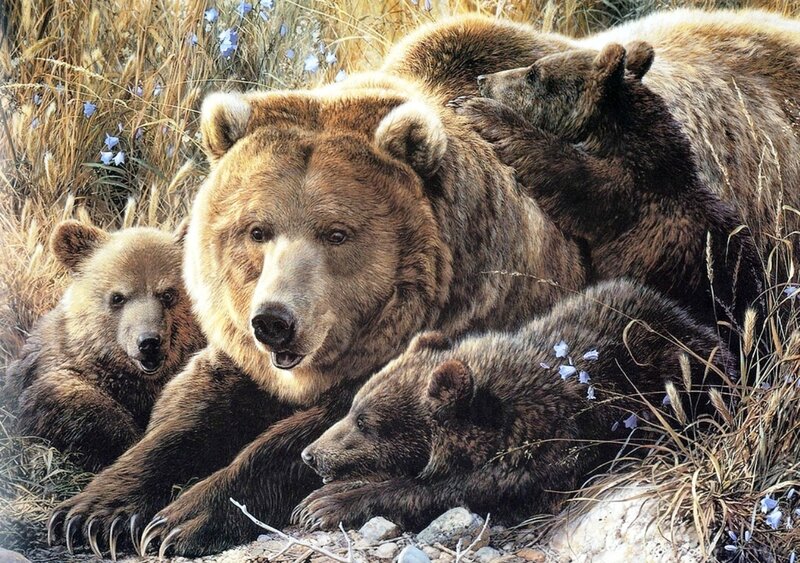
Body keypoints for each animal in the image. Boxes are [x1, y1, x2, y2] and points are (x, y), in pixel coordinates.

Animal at [46, 74, 588, 558]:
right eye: (257, 230)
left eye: (336, 233)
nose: (273, 322)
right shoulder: (242, 359)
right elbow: (189, 412)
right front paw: (92, 513)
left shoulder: (447, 331)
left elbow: (323, 435)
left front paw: (181, 519)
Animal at [292, 279, 735, 531]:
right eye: (353, 409)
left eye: (365, 422)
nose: (310, 455)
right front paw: (316, 500)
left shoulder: (544, 453)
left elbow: (453, 491)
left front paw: (326, 504)